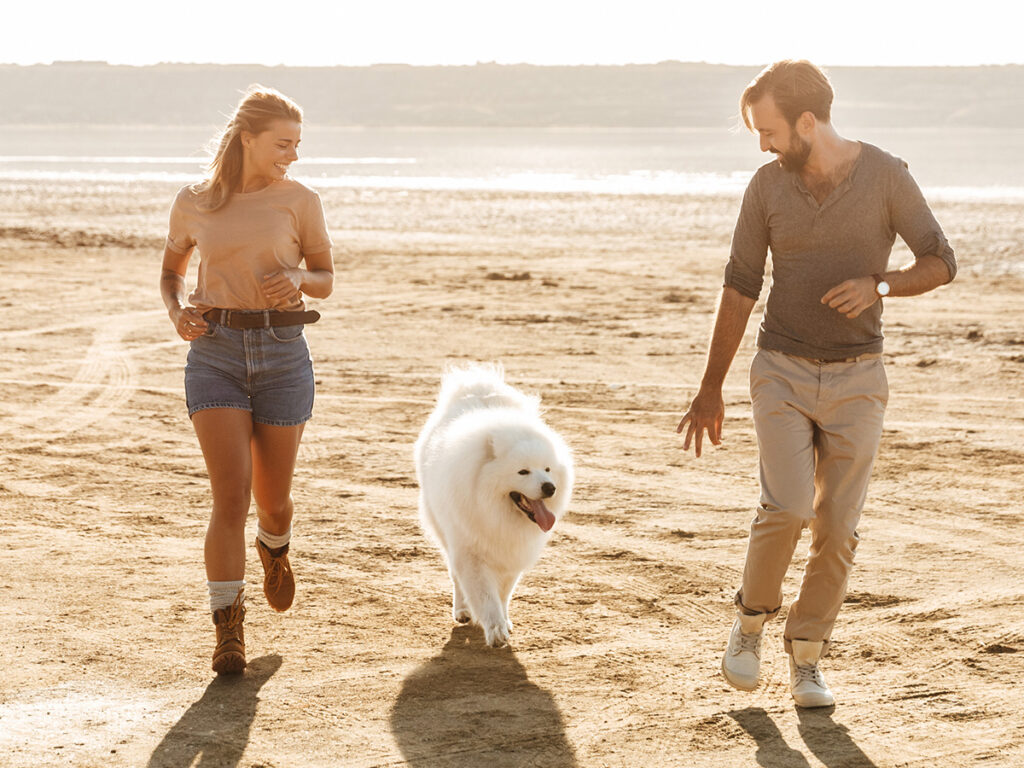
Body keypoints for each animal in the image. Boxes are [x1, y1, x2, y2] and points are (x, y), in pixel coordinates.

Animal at [415, 364, 577, 647]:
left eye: (547, 469)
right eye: (523, 472)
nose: (550, 487)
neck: (494, 513)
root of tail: (476, 387)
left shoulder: (512, 554)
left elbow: (503, 593)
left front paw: (504, 620)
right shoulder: (470, 552)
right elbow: (485, 595)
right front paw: (495, 629)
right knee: (455, 576)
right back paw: (462, 610)